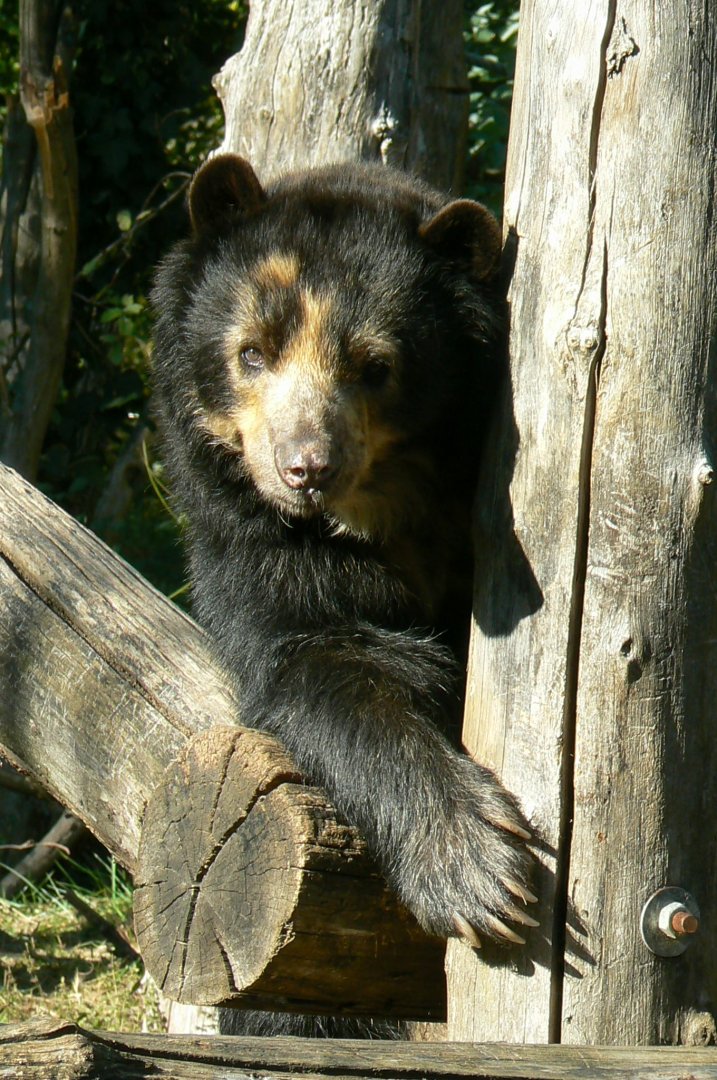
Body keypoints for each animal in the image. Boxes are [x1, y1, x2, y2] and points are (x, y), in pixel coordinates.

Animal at [151, 155, 536, 1019]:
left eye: (375, 367)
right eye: (252, 353)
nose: (304, 468)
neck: (378, 515)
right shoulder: (250, 546)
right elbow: (319, 668)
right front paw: (479, 870)